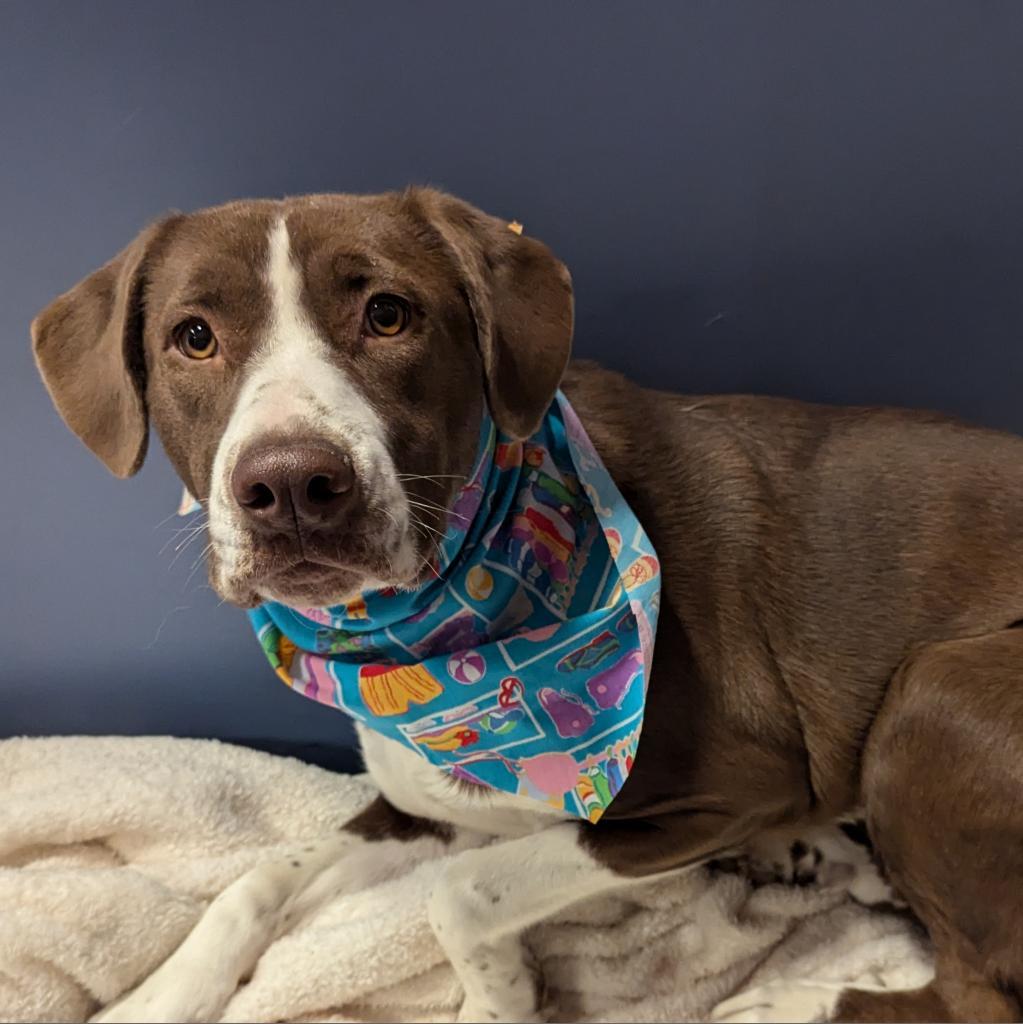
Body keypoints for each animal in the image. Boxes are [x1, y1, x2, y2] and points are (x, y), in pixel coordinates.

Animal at [32, 190, 1023, 1024]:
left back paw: (786, 1002)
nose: (291, 486)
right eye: (193, 336)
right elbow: (258, 881)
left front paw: (499, 996)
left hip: (937, 692)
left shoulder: (731, 787)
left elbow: (461, 891)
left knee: (974, 997)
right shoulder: (421, 796)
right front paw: (159, 997)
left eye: (387, 313)